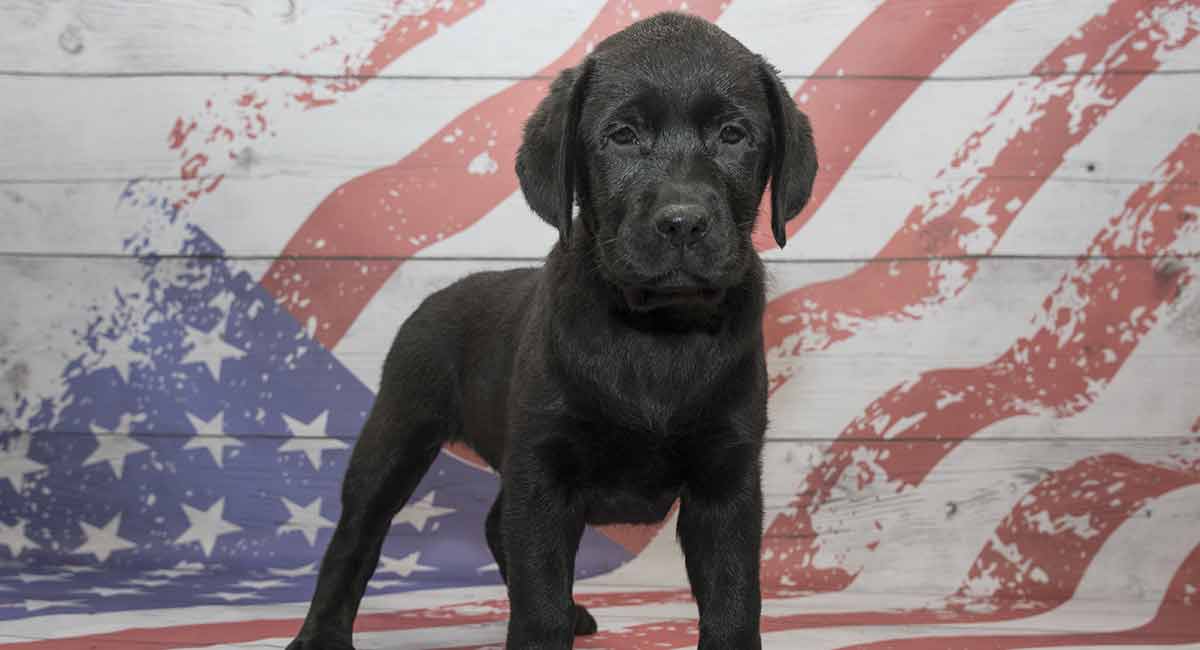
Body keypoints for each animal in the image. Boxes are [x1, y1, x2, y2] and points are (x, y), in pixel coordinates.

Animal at [289, 11, 816, 650]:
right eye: (622, 136)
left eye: (734, 135)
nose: (683, 222)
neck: (656, 331)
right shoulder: (544, 471)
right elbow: (537, 593)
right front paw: (546, 622)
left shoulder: (727, 479)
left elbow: (734, 599)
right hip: (397, 432)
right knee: (355, 537)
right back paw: (320, 633)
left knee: (493, 523)